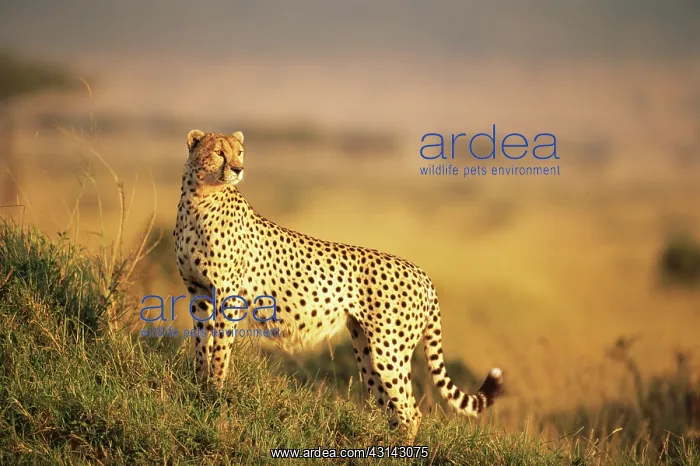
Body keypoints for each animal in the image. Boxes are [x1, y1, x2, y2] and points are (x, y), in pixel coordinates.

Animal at [173, 129, 503, 438]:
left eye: (239, 152)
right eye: (219, 152)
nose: (239, 169)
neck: (199, 198)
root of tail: (420, 272)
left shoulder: (228, 296)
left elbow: (220, 349)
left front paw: (215, 394)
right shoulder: (198, 293)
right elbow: (201, 345)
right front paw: (199, 386)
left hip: (389, 351)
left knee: (411, 412)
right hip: (367, 348)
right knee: (389, 406)